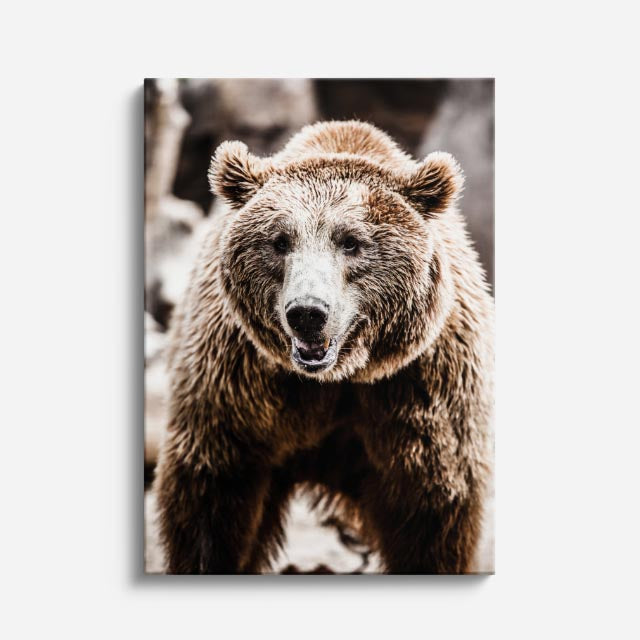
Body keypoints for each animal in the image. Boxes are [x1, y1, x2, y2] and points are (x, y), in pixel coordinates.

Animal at [153, 120, 494, 574]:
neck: (338, 377)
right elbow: (211, 501)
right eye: (280, 241)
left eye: (350, 241)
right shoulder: (238, 389)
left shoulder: (421, 391)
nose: (307, 312)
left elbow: (432, 519)